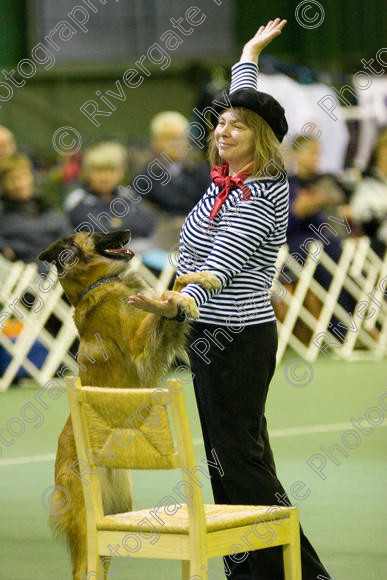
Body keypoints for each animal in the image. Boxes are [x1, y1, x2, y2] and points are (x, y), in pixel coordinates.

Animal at [39, 231, 221, 580]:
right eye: (93, 233)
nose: (126, 233)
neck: (99, 285)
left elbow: (175, 286)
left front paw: (201, 279)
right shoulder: (140, 346)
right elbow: (170, 289)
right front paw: (186, 297)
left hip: (113, 513)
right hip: (86, 523)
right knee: (81, 570)